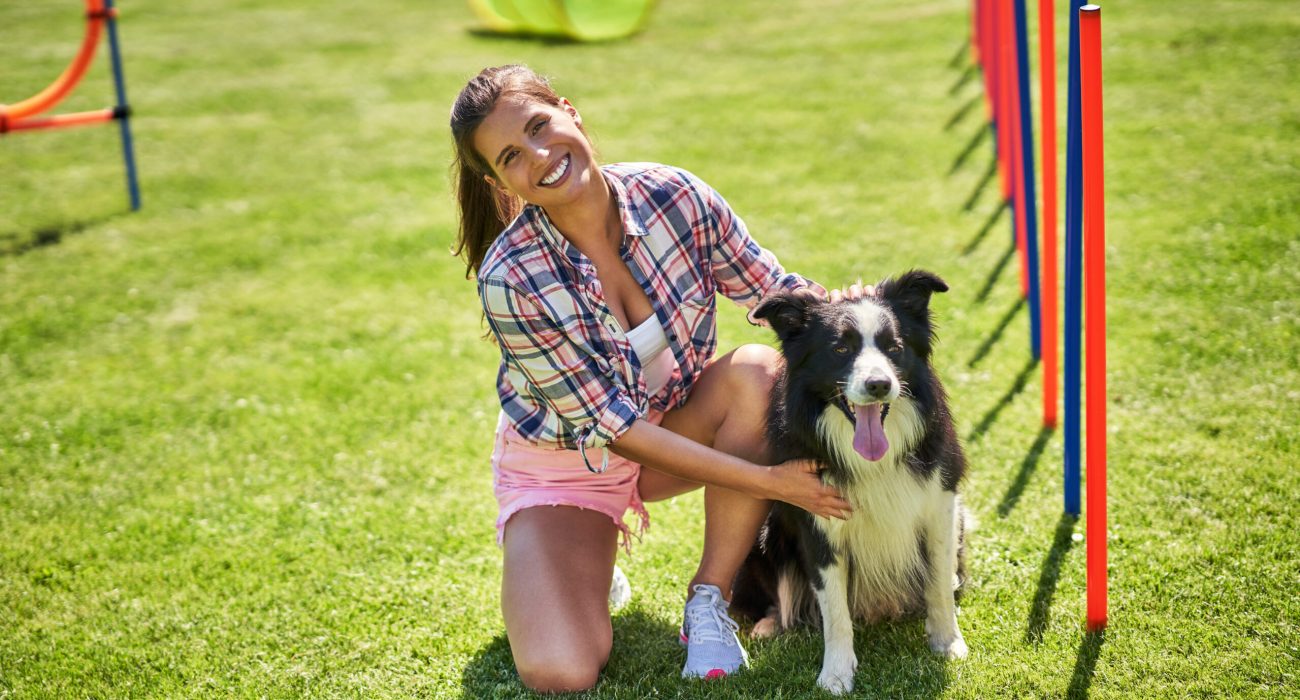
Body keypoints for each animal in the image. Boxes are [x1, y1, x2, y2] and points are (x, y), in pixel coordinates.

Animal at [733, 269, 967, 686]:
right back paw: (770, 624)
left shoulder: (941, 505)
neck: (873, 459)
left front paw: (948, 643)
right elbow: (835, 610)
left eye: (894, 347)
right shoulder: (818, 522)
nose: (879, 384)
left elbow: (939, 581)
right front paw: (837, 675)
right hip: (767, 530)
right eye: (841, 349)